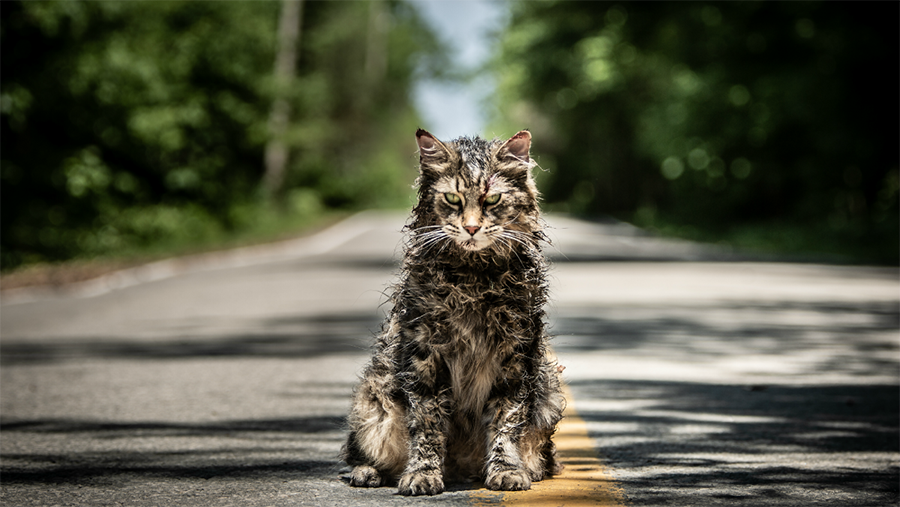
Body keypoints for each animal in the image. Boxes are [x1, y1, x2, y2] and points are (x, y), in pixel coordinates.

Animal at [342, 127, 568, 496]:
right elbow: (427, 426)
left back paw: (527, 470)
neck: (474, 278)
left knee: (540, 454)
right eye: (452, 199)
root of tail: (460, 469)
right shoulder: (425, 356)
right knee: (360, 453)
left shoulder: (515, 356)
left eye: (492, 201)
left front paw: (507, 470)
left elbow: (506, 422)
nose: (472, 228)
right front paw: (422, 474)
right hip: (373, 399)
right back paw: (368, 472)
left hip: (548, 389)